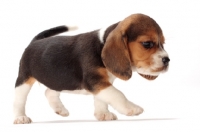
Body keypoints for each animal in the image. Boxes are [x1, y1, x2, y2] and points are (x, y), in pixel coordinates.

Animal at [13, 13, 170, 124]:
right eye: (147, 44)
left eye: (163, 43)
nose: (167, 60)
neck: (101, 45)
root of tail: (35, 41)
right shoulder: (95, 81)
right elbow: (117, 94)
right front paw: (131, 108)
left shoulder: (103, 83)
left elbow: (102, 99)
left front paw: (103, 114)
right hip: (24, 79)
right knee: (19, 99)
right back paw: (20, 118)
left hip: (58, 79)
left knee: (49, 91)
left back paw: (60, 109)